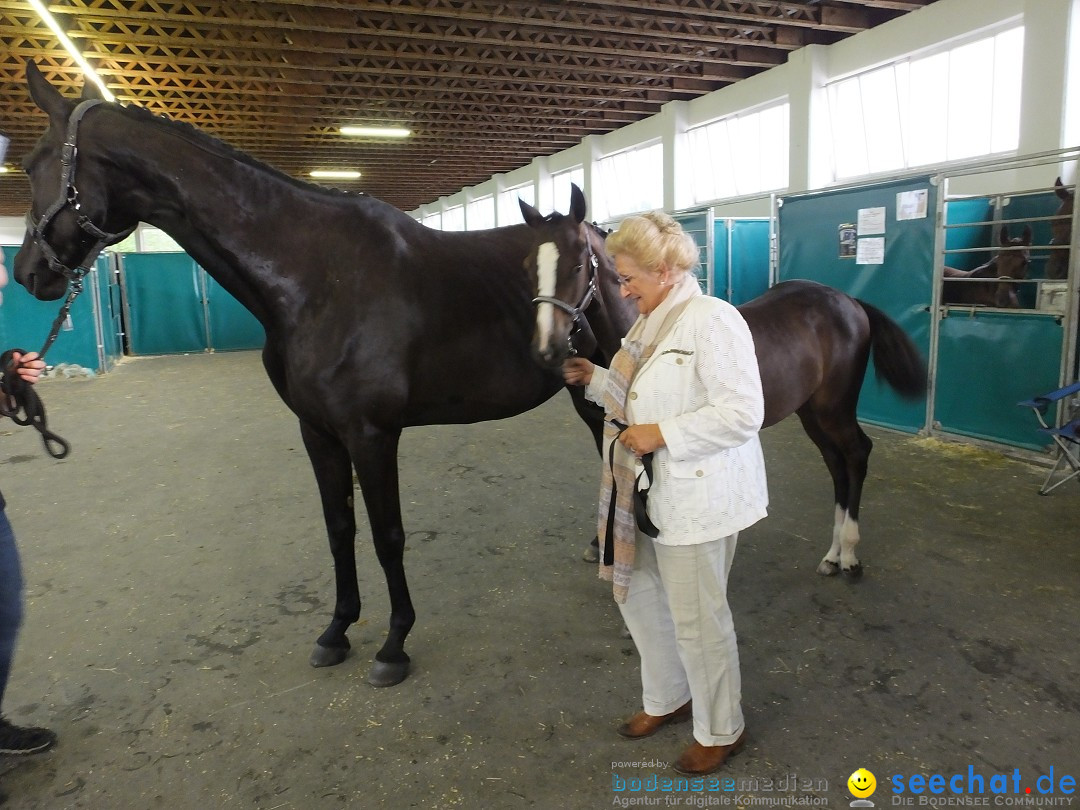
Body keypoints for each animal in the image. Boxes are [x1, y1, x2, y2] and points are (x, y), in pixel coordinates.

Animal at [12, 60, 630, 686]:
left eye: (37, 163)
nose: (28, 272)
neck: (317, 278)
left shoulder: (371, 433)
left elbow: (387, 535)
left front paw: (394, 644)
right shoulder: (317, 431)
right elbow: (339, 530)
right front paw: (337, 630)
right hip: (585, 392)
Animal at [529, 192, 928, 578]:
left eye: (577, 265)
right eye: (532, 267)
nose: (547, 349)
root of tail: (849, 301)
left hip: (835, 409)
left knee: (857, 454)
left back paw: (848, 555)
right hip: (812, 413)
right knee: (836, 461)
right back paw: (832, 555)